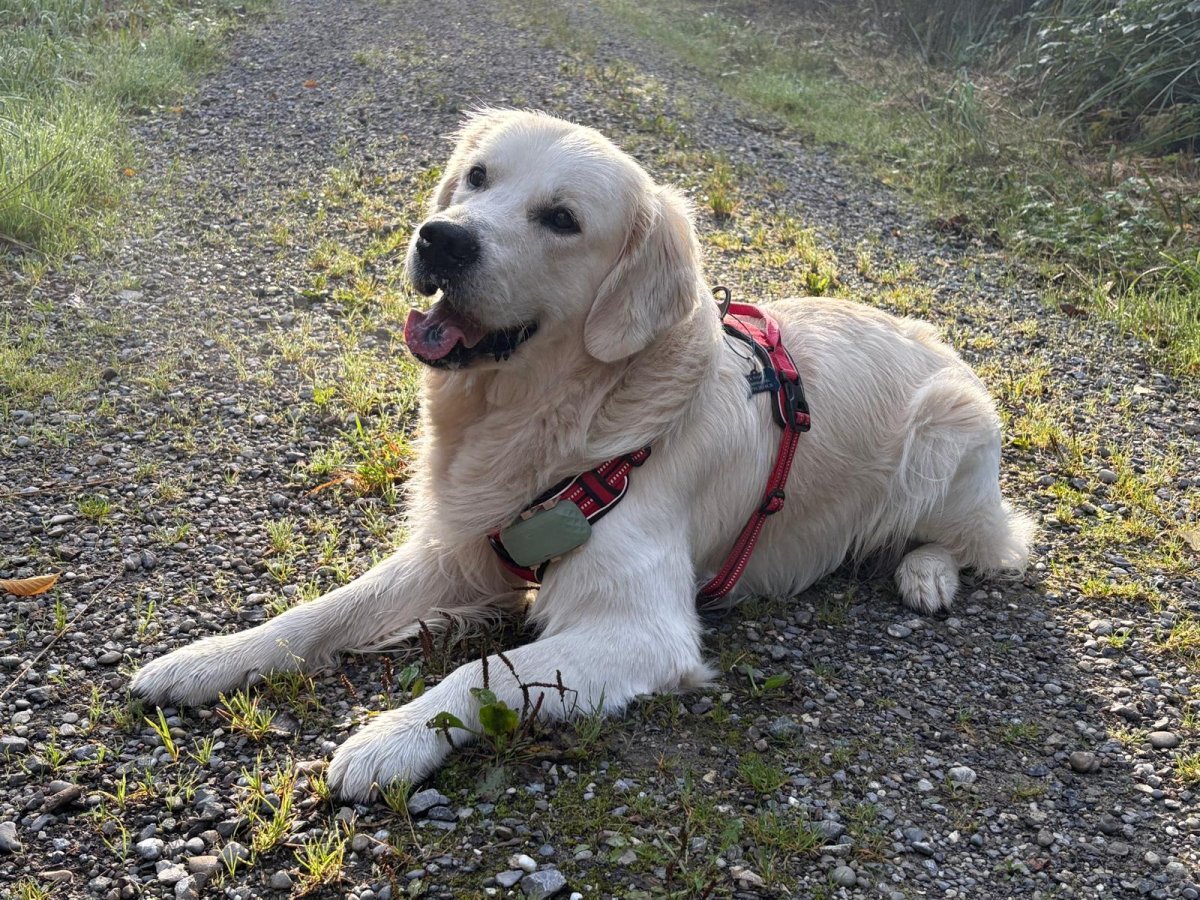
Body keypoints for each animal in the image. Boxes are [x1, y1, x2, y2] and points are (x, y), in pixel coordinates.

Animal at [132, 109, 1033, 799]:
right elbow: (324, 611)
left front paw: (387, 741)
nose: (440, 238)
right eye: (477, 177)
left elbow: (486, 671)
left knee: (993, 540)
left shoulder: (643, 630)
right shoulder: (464, 546)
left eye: (562, 219)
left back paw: (926, 574)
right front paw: (207, 659)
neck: (555, 416)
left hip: (946, 431)